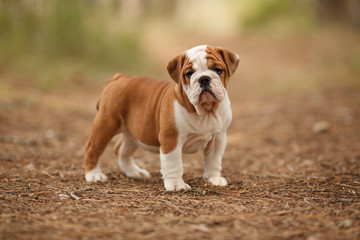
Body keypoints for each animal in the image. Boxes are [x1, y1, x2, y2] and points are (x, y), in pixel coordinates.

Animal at [83, 45, 239, 191]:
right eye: (189, 74)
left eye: (218, 70)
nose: (204, 78)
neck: (205, 111)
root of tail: (120, 77)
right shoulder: (171, 139)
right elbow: (174, 163)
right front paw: (176, 185)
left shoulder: (218, 139)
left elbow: (214, 160)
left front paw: (214, 178)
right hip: (106, 124)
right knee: (92, 148)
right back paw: (94, 175)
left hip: (132, 133)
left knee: (121, 150)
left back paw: (135, 172)